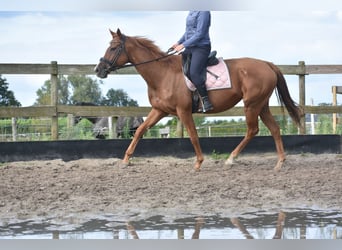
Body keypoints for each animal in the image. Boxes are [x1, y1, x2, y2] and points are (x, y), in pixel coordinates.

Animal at [95, 28, 300, 170]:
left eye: (113, 48)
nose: (98, 70)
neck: (163, 74)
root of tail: (268, 64)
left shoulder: (183, 111)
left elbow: (193, 135)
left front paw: (199, 163)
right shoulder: (159, 111)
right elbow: (140, 131)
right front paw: (125, 160)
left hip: (251, 105)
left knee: (252, 130)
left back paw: (231, 159)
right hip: (262, 105)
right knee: (274, 129)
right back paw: (280, 163)